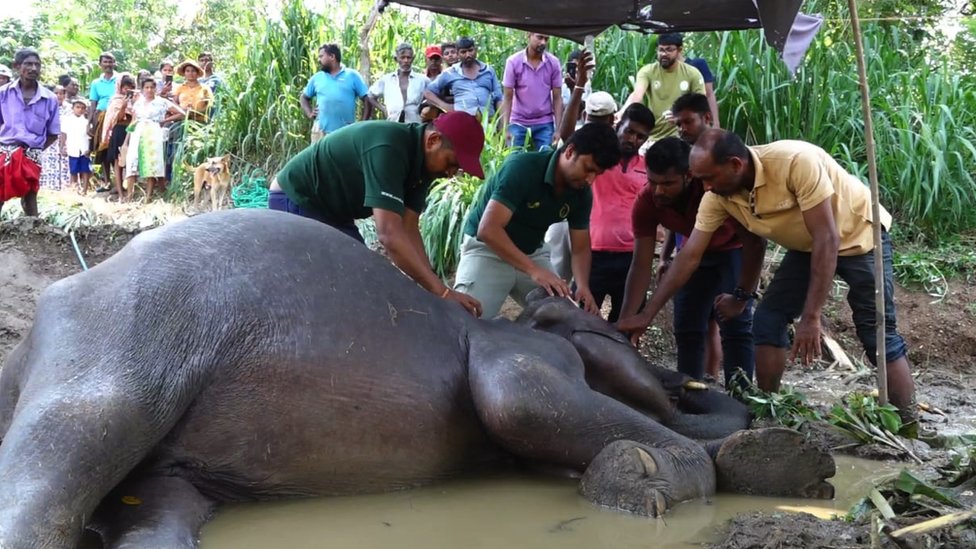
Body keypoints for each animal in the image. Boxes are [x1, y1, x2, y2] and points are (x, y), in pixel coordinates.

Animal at [1, 208, 840, 544]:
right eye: (605, 332)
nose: (695, 381)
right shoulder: (522, 357)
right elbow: (519, 399)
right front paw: (653, 478)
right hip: (123, 342)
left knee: (158, 513)